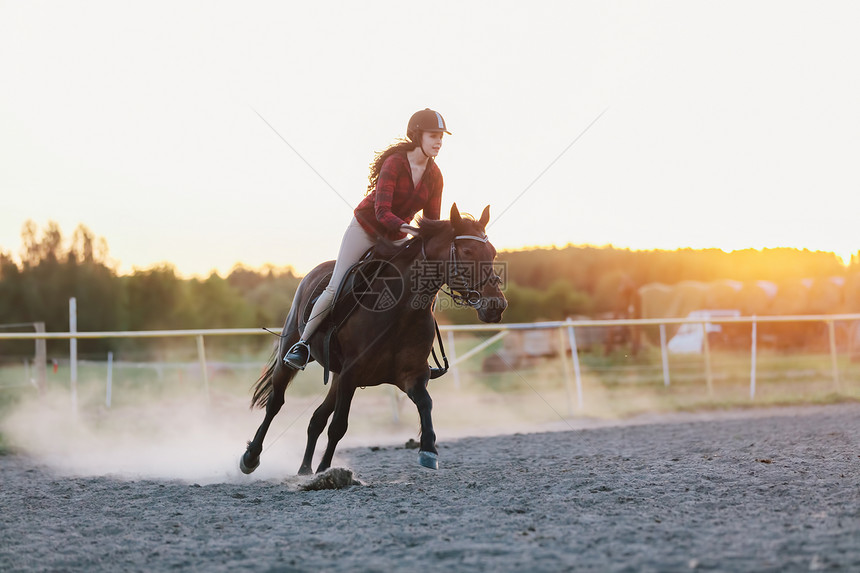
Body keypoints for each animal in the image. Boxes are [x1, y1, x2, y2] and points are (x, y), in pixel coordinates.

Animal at [239, 202, 508, 474]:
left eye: (493, 252)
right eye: (467, 250)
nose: (496, 306)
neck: (401, 310)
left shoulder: (410, 375)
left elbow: (426, 404)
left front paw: (428, 450)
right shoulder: (351, 373)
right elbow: (339, 426)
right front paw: (325, 469)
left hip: (337, 375)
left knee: (316, 418)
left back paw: (304, 470)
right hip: (292, 354)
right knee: (276, 402)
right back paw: (251, 458)